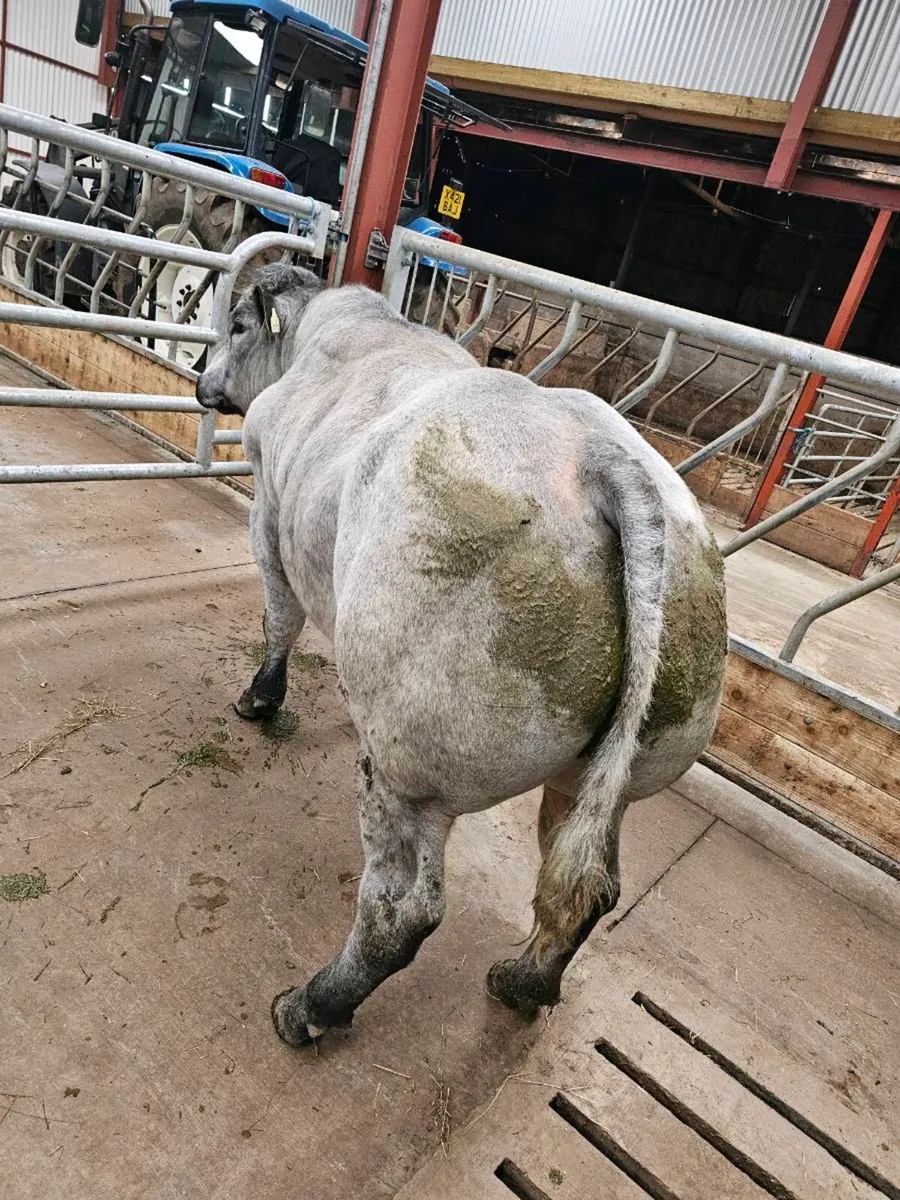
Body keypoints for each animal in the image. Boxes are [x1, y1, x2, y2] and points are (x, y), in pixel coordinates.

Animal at [196, 263, 727, 1048]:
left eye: (235, 325)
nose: (204, 383)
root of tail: (599, 458)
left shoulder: (269, 508)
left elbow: (279, 616)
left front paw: (260, 699)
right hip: (611, 774)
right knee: (589, 886)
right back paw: (522, 983)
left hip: (412, 774)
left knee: (402, 910)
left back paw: (313, 1007)